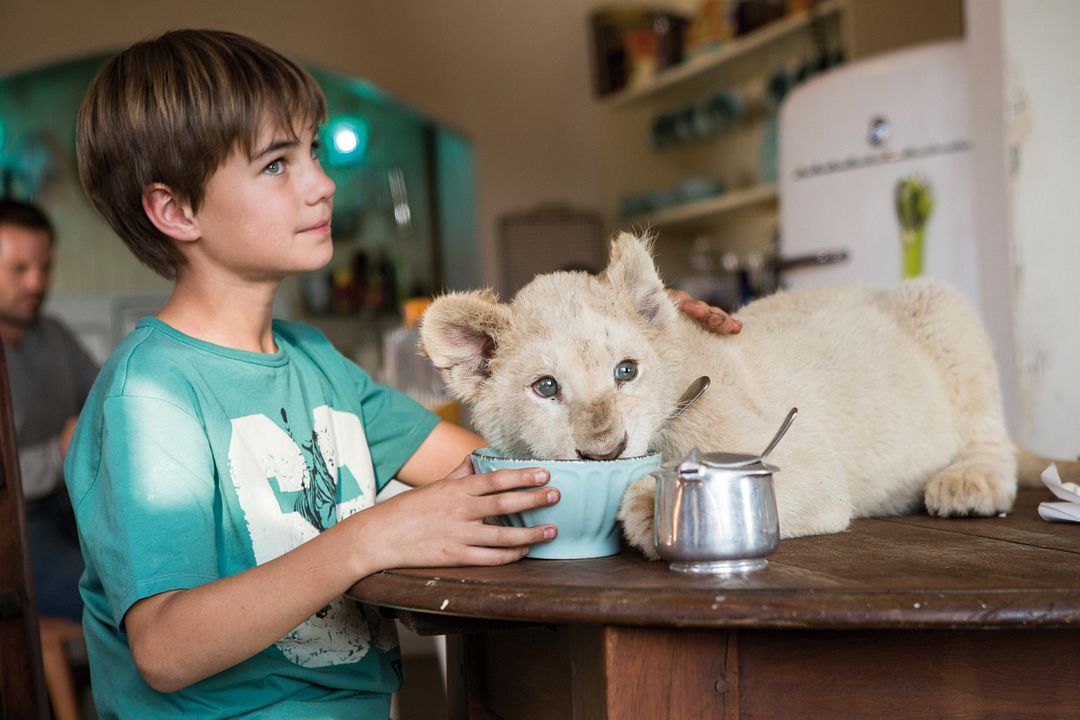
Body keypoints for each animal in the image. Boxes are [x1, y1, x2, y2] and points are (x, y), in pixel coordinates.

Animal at [419, 232, 1057, 559]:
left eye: (626, 371)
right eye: (546, 387)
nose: (606, 452)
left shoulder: (812, 466)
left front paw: (648, 506)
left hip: (944, 308)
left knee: (991, 437)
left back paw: (968, 483)